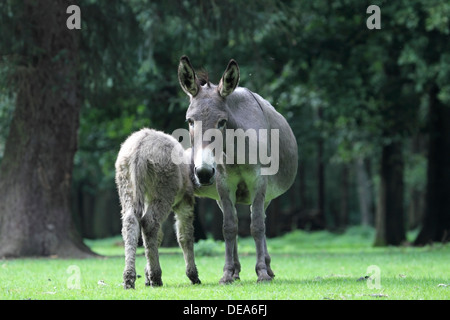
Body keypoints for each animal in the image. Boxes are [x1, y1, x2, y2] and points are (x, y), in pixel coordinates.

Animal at [116, 129, 200, 288]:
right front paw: (193, 276)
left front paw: (146, 275)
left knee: (131, 223)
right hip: (164, 190)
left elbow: (159, 236)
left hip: (127, 185)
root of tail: (139, 149)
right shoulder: (185, 201)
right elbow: (185, 236)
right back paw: (156, 277)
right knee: (150, 223)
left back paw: (129, 278)